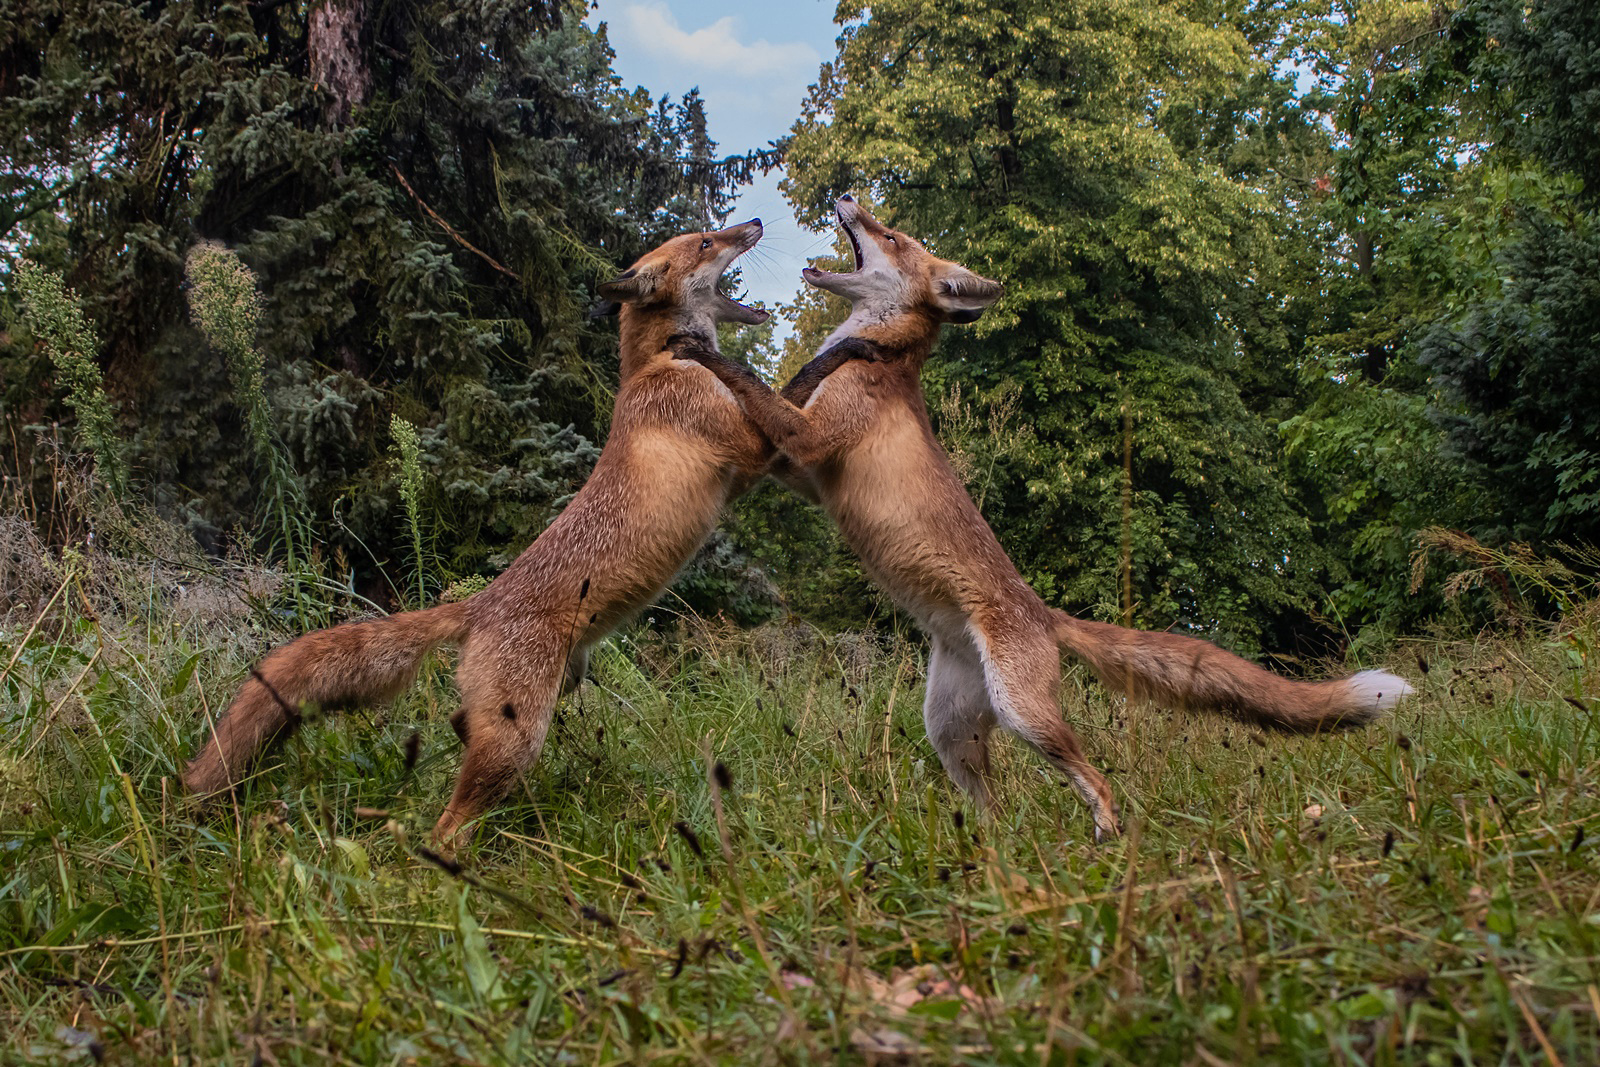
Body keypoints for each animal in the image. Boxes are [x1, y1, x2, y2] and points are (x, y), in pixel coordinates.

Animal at [184, 220, 864, 844]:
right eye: (704, 242)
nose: (754, 224)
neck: (654, 366)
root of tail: (479, 605)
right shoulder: (751, 453)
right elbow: (788, 388)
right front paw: (846, 349)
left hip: (548, 695)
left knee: (461, 729)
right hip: (519, 735)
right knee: (449, 823)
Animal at [675, 195, 1414, 838]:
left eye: (890, 237)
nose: (850, 195)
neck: (888, 357)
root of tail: (1047, 615)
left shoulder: (808, 444)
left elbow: (753, 382)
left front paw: (704, 351)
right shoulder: (797, 470)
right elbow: (781, 390)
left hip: (1024, 715)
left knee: (1098, 778)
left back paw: (1103, 838)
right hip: (951, 729)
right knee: (995, 802)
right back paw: (994, 852)